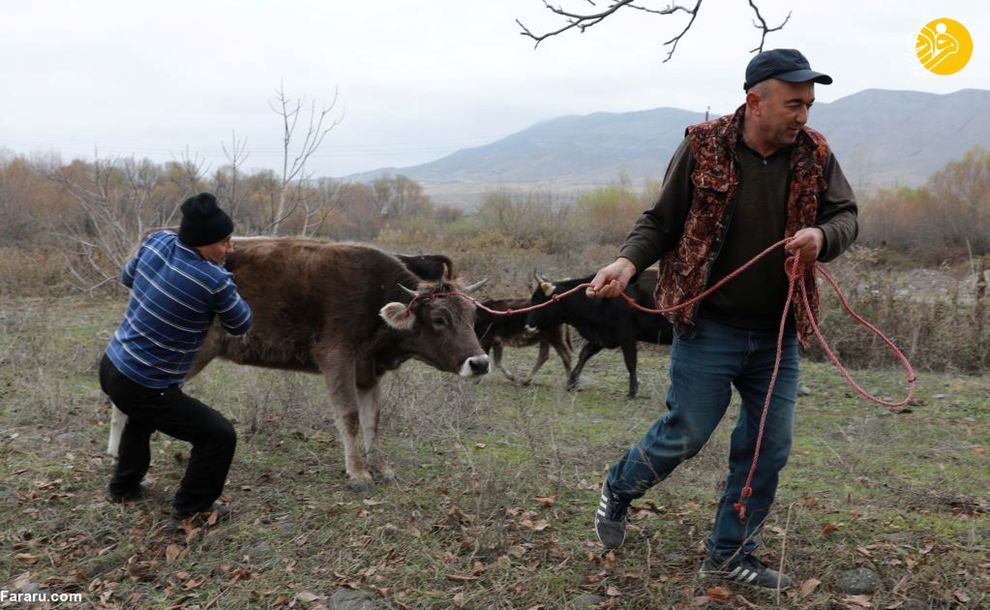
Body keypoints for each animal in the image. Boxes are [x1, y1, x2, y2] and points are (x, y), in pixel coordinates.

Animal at [528, 268, 676, 396]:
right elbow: (584, 354)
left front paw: (632, 391)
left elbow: (630, 362)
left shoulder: (627, 337)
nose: (529, 325)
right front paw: (571, 381)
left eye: (538, 300)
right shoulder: (601, 337)